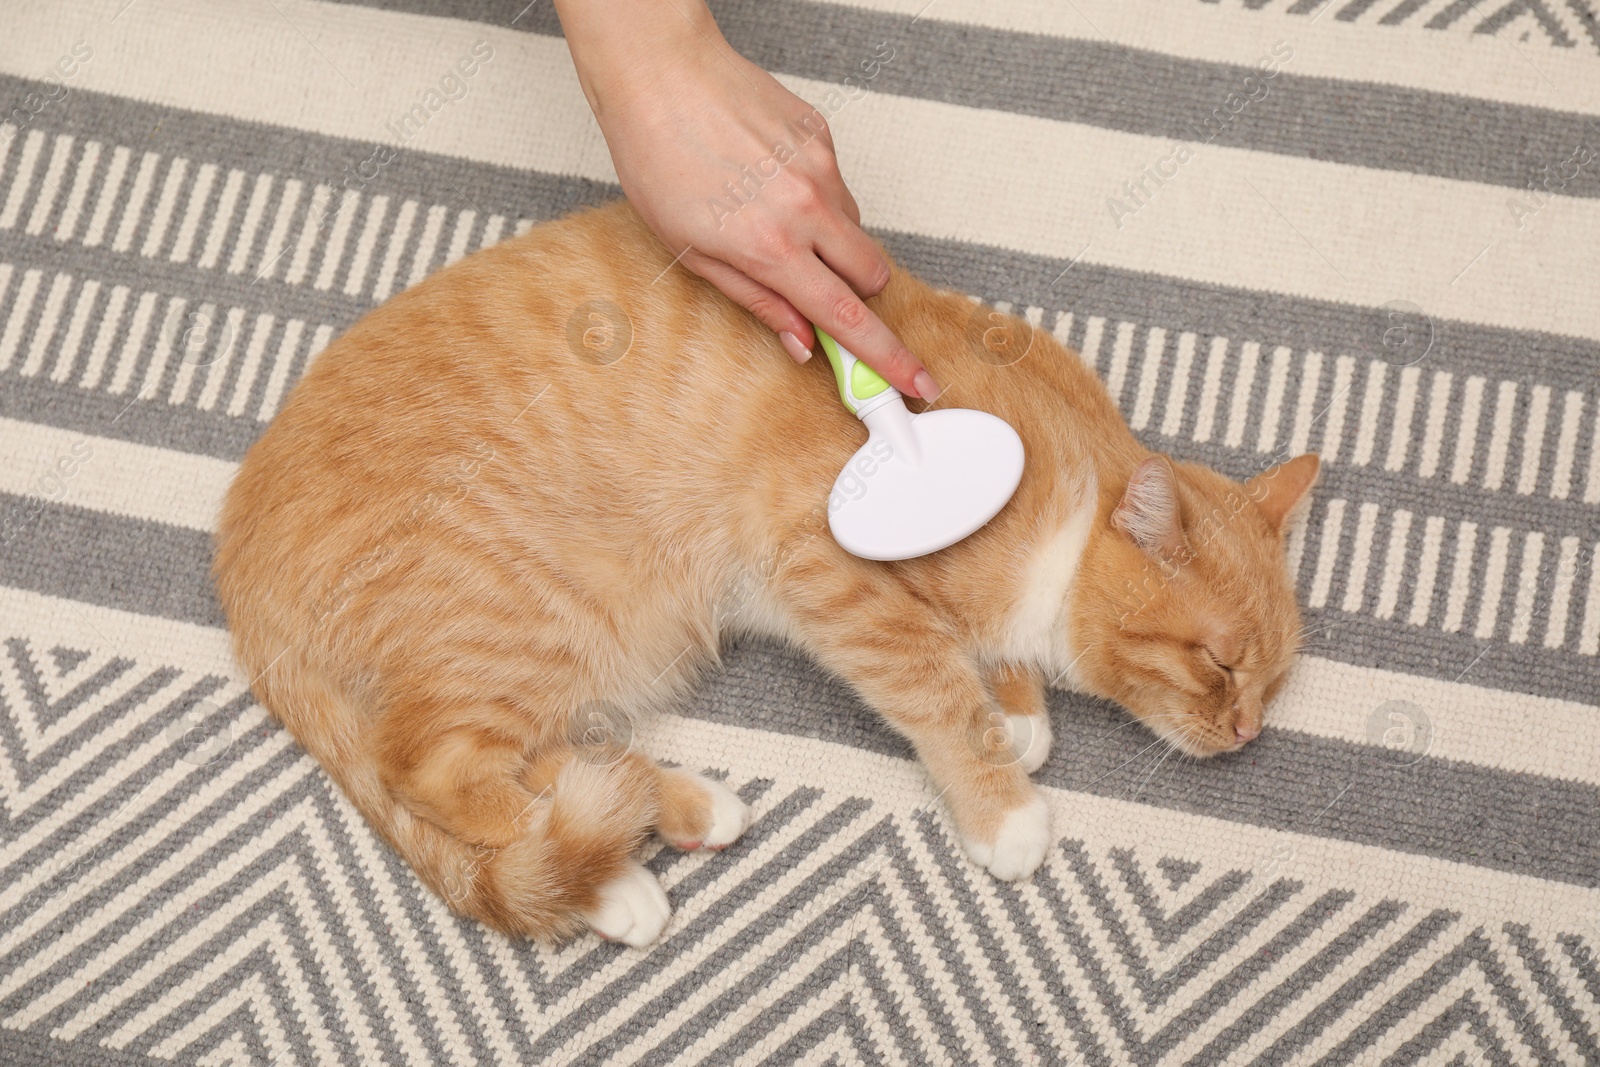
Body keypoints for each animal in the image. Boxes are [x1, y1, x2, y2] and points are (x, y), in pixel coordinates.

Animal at [212, 202, 1312, 953]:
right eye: (1219, 664)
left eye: (1272, 679)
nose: (1247, 730)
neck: (1064, 480)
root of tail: (239, 561)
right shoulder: (826, 567)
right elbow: (936, 686)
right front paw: (1003, 801)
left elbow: (981, 666)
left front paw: (1018, 707)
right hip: (528, 614)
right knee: (430, 768)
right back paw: (587, 846)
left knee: (541, 761)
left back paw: (659, 836)